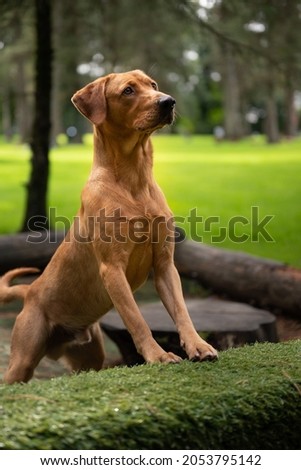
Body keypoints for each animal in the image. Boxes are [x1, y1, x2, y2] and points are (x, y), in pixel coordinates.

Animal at [0, 70, 216, 386]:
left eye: (153, 85)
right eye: (128, 91)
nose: (168, 101)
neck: (134, 180)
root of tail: (30, 292)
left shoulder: (165, 264)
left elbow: (182, 311)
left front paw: (198, 345)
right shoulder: (112, 269)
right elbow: (136, 319)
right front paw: (158, 355)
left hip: (90, 355)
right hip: (23, 357)